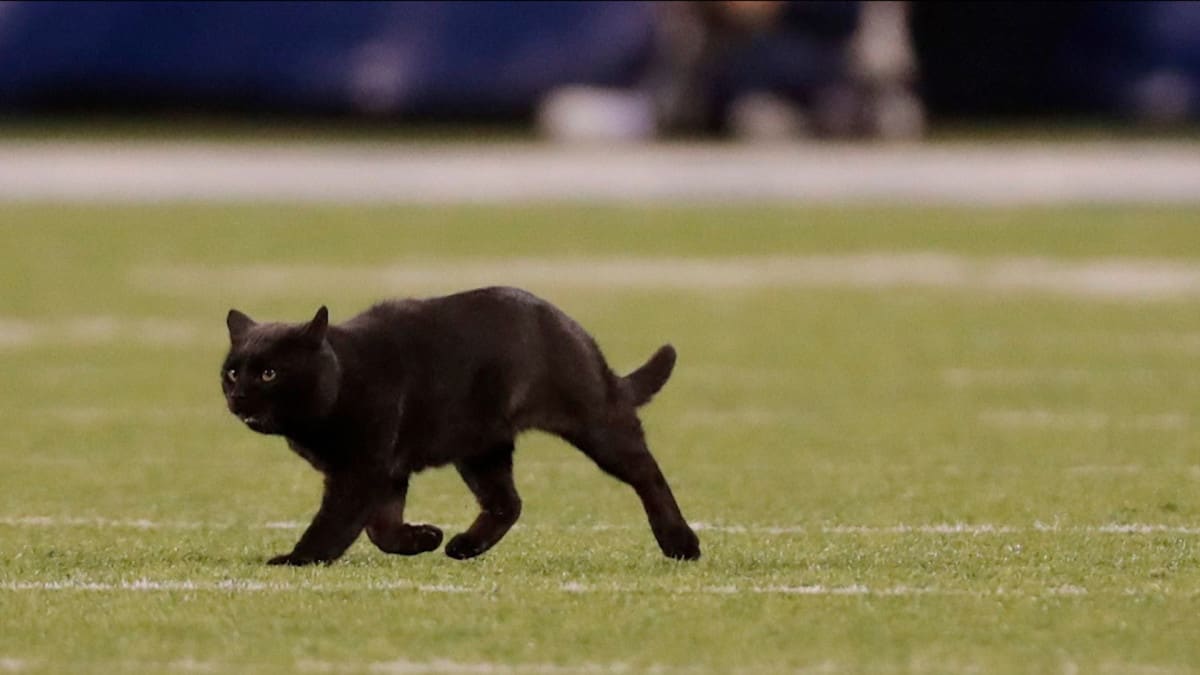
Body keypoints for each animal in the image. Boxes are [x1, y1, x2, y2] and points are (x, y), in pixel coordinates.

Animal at [220, 285, 700, 564]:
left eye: (269, 374)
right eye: (232, 372)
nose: (237, 394)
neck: (343, 378)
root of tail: (570, 325)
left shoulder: (362, 471)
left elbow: (334, 525)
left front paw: (295, 559)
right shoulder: (386, 472)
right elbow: (381, 528)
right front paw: (424, 538)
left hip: (595, 423)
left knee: (647, 473)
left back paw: (681, 544)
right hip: (480, 448)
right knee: (508, 502)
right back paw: (464, 547)